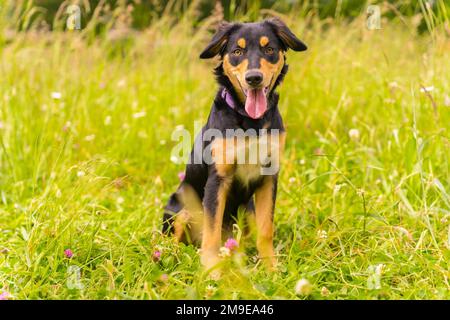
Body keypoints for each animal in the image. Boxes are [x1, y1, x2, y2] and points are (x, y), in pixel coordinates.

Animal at [163, 18, 308, 270]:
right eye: (237, 52)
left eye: (269, 49)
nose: (254, 78)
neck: (251, 121)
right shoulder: (218, 179)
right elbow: (211, 233)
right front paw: (212, 269)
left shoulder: (269, 177)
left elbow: (266, 230)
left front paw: (270, 267)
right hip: (181, 206)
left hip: (248, 209)